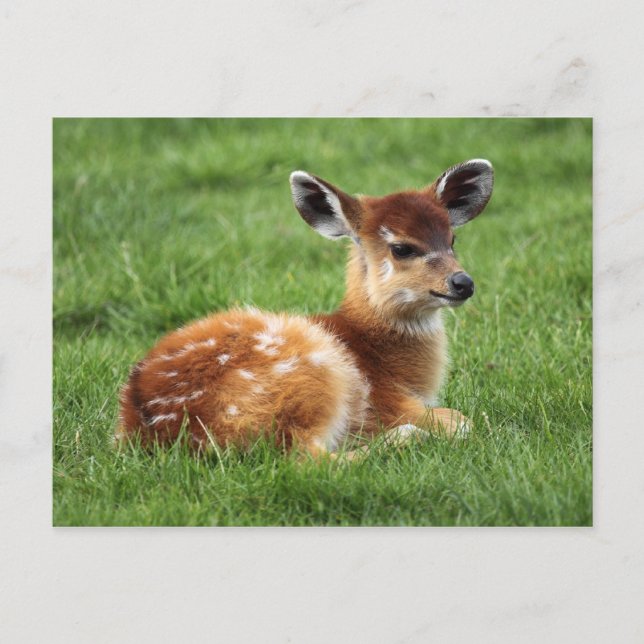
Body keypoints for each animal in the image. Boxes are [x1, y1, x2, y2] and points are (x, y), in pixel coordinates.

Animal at [116, 159, 494, 458]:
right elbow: (463, 421)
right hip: (315, 376)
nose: (463, 282)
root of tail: (150, 431)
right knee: (308, 458)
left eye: (452, 240)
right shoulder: (389, 403)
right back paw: (403, 438)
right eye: (401, 248)